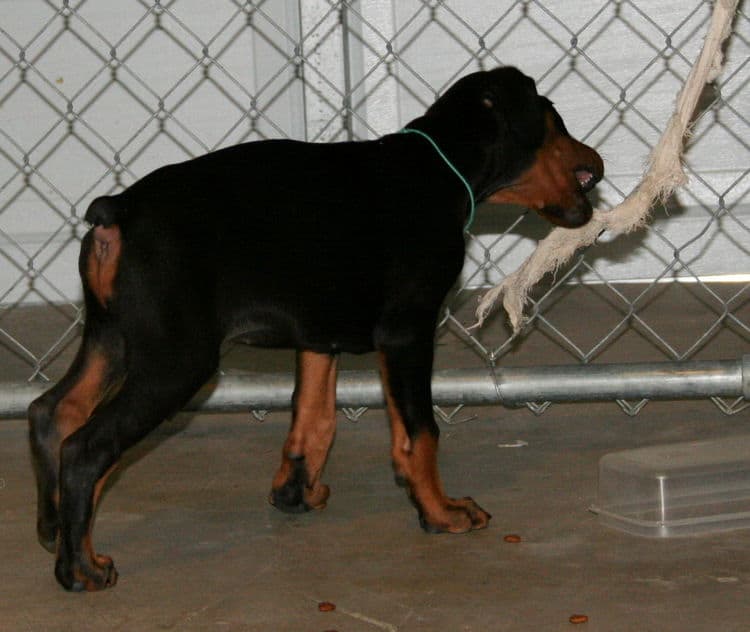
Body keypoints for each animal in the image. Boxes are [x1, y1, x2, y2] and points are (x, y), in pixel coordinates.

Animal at [27, 66, 604, 592]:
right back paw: (80, 569)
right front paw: (441, 511)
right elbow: (419, 432)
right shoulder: (407, 332)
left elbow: (314, 418)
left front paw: (295, 493)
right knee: (87, 447)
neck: (438, 167)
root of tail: (117, 209)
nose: (598, 166)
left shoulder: (317, 336)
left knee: (53, 412)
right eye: (553, 119)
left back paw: (54, 528)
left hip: (111, 336)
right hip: (177, 359)